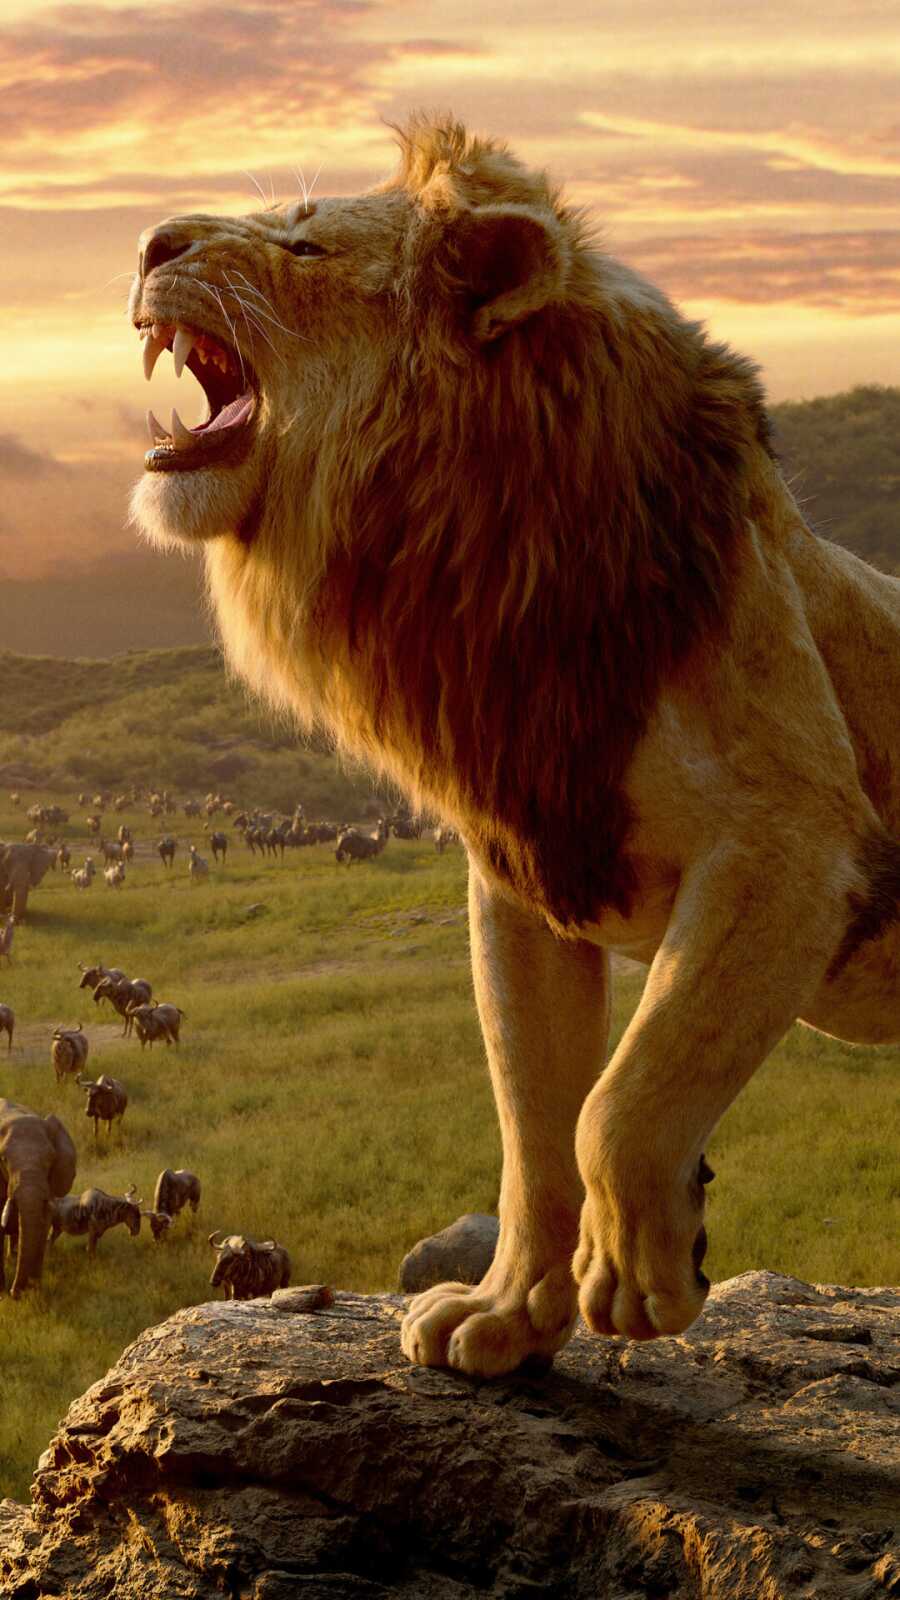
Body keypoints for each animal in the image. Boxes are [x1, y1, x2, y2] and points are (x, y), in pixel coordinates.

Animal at [129, 115, 900, 1377]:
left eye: (303, 243)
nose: (149, 241)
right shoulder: (522, 867)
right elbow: (535, 1121)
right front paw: (506, 1315)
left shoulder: (791, 838)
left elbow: (620, 1100)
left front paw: (643, 1271)